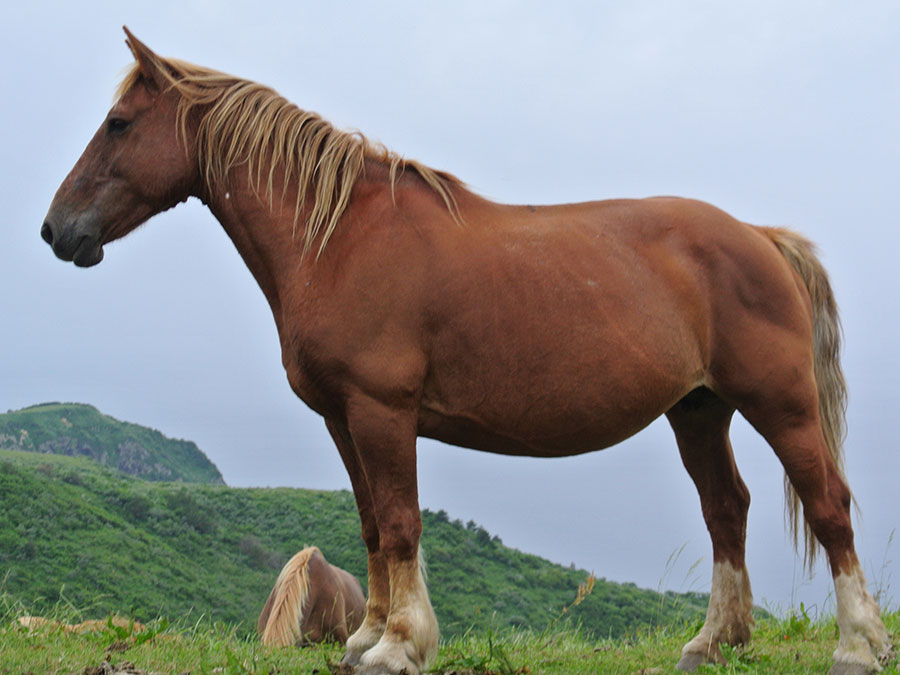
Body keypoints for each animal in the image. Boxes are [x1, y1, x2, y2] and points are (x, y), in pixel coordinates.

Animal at [42, 27, 892, 675]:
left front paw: (398, 646)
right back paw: (713, 642)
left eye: (119, 123)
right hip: (699, 409)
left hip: (778, 401)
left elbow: (400, 521)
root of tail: (760, 236)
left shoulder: (381, 411)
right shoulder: (343, 419)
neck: (343, 237)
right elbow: (370, 525)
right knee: (726, 509)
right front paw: (363, 637)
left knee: (829, 505)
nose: (57, 230)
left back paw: (857, 645)